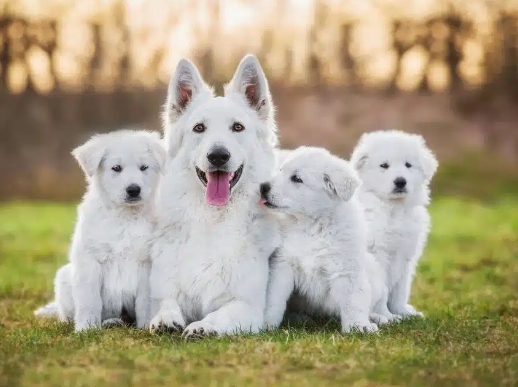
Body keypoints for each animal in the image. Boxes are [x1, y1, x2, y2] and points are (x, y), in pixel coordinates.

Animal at [35, 131, 166, 334]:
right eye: (116, 168)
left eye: (144, 167)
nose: (134, 190)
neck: (124, 217)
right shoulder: (90, 260)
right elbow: (89, 300)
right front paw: (86, 329)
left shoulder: (147, 263)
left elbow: (145, 301)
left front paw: (145, 327)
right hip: (64, 278)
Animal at [148, 54, 282, 340]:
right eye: (199, 128)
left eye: (238, 127)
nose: (218, 156)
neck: (213, 219)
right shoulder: (163, 293)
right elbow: (167, 303)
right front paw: (166, 319)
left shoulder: (247, 307)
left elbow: (222, 314)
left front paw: (203, 326)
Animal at [262, 147, 380, 334]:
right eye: (280, 170)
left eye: (296, 178)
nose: (262, 187)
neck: (312, 226)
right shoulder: (282, 265)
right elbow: (274, 297)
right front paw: (267, 324)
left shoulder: (347, 269)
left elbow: (354, 300)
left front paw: (358, 326)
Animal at [352, 130, 440, 318]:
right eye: (384, 165)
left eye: (408, 165)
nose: (400, 181)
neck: (393, 208)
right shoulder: (379, 256)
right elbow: (384, 290)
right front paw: (388, 316)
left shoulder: (406, 256)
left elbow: (401, 289)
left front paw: (404, 312)